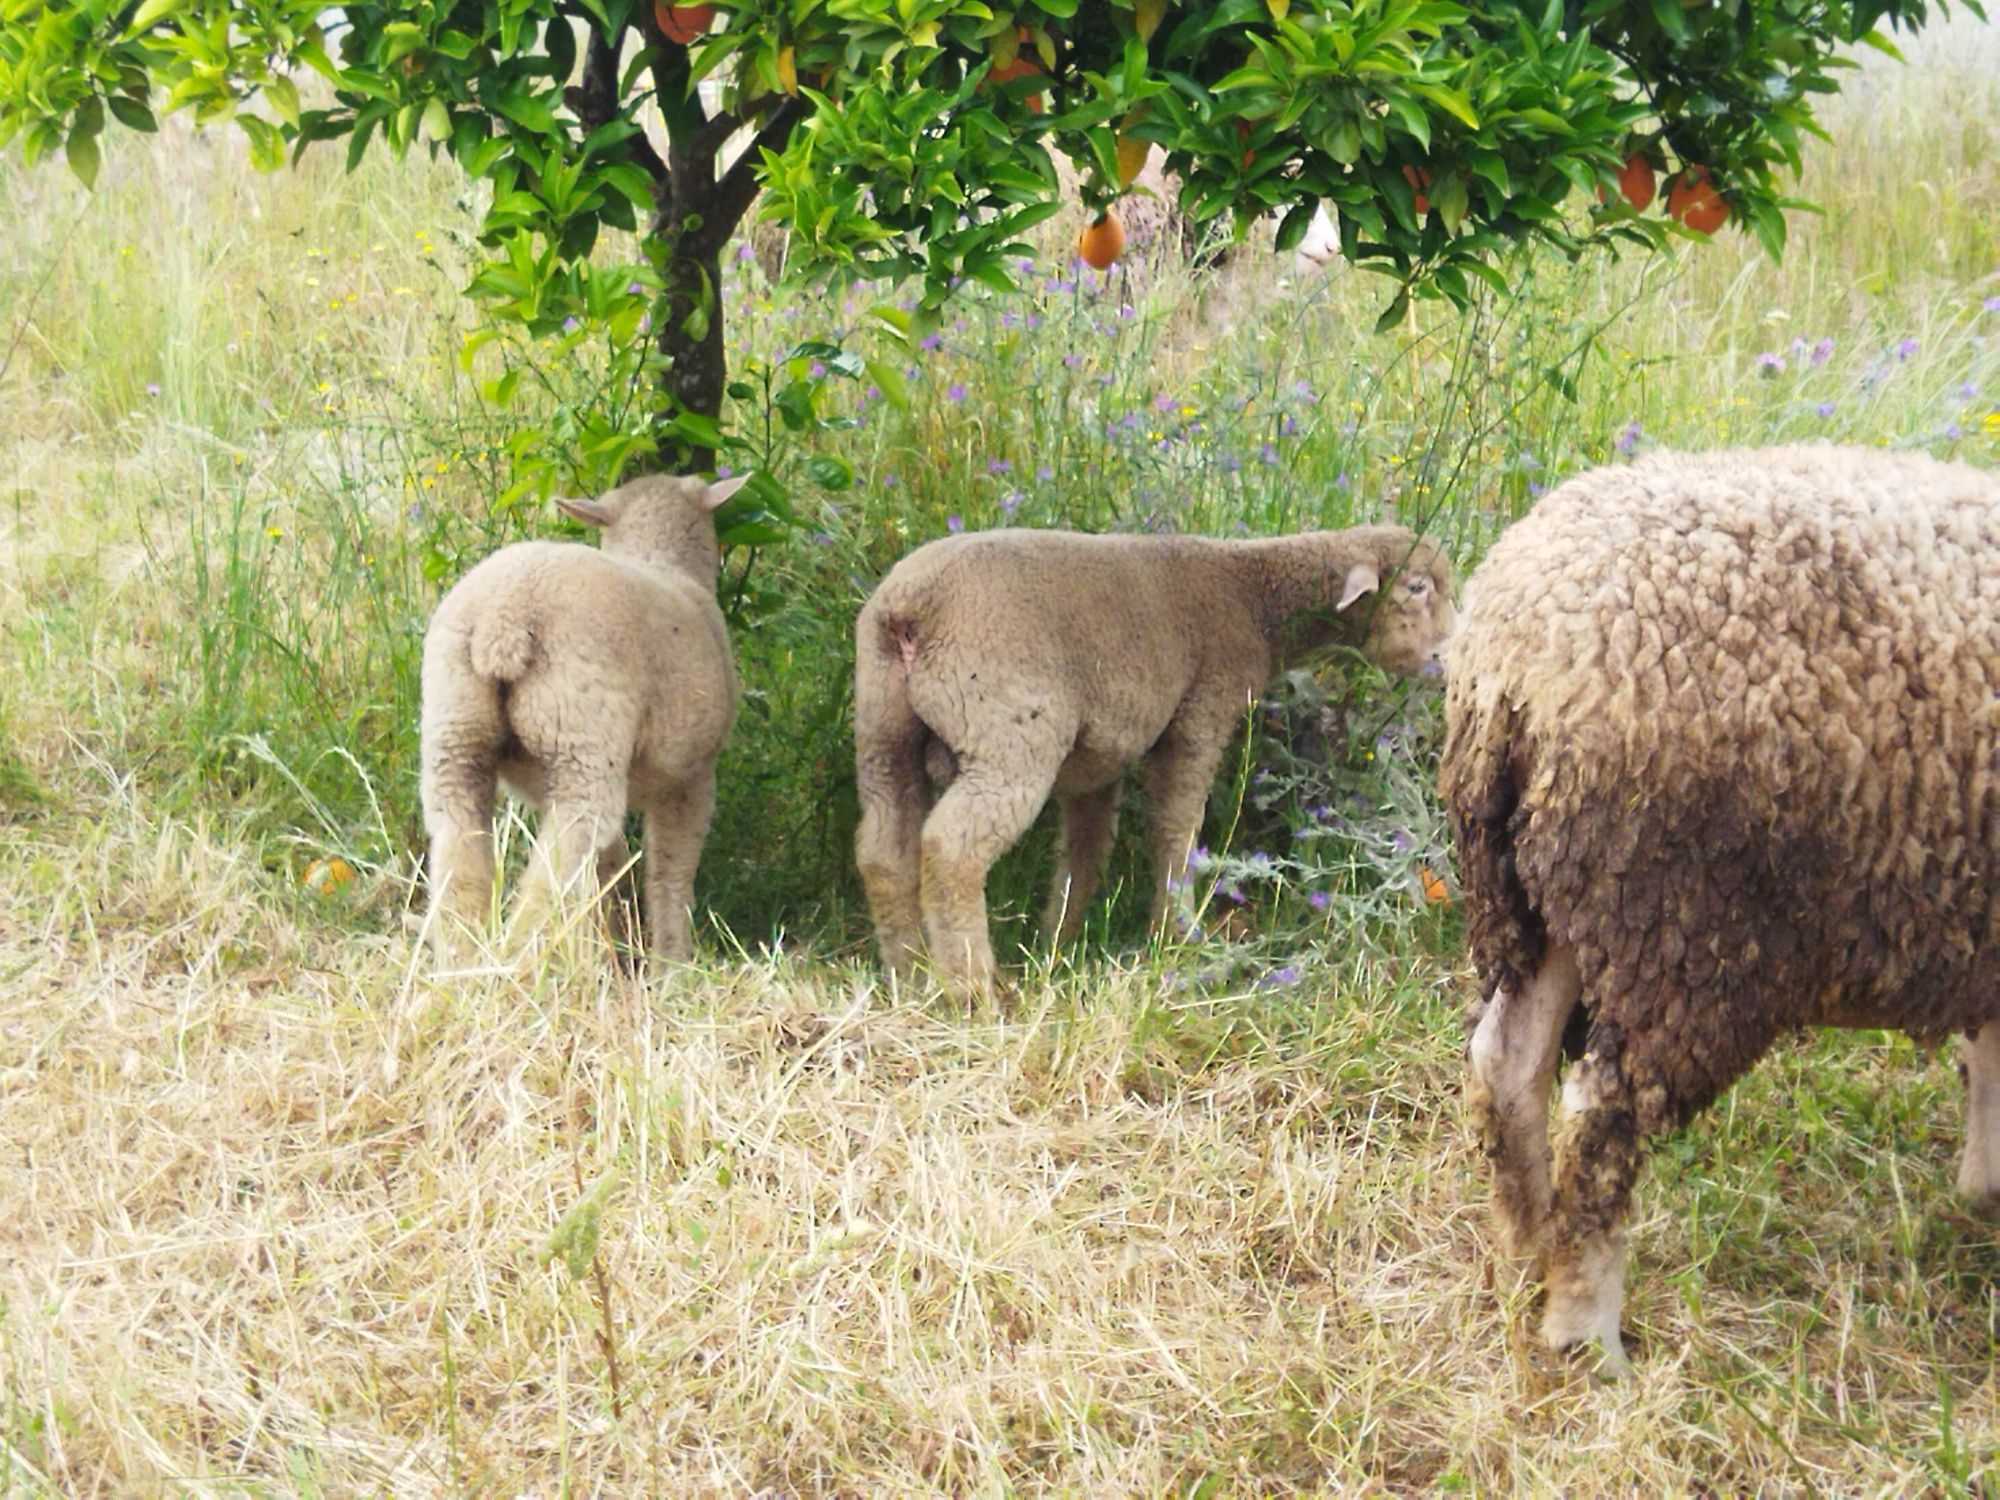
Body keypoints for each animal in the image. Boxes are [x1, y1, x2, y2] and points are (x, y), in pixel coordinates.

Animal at [418, 472, 748, 964]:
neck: (660, 558)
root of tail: (504, 616)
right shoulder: (692, 775)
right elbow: (669, 873)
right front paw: (671, 963)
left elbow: (609, 868)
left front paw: (612, 950)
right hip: (581, 742)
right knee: (558, 863)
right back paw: (522, 960)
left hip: (456, 732)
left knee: (459, 853)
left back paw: (465, 965)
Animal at [848, 524, 1456, 992]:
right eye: (1417, 587)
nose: (1452, 658)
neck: (1254, 600)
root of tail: (911, 609)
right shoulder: (1200, 714)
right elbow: (1176, 827)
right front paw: (1176, 933)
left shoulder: (1098, 755)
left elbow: (1087, 847)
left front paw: (1057, 943)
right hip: (1008, 735)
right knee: (951, 848)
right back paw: (972, 989)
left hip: (882, 729)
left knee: (884, 849)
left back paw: (908, 977)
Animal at [1448, 444, 1992, 1376]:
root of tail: (1520, 654)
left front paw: (1979, 1194)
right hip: (1689, 923)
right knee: (1600, 1119)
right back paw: (1586, 1332)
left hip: (1557, 891)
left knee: (1506, 1065)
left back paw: (1523, 1255)